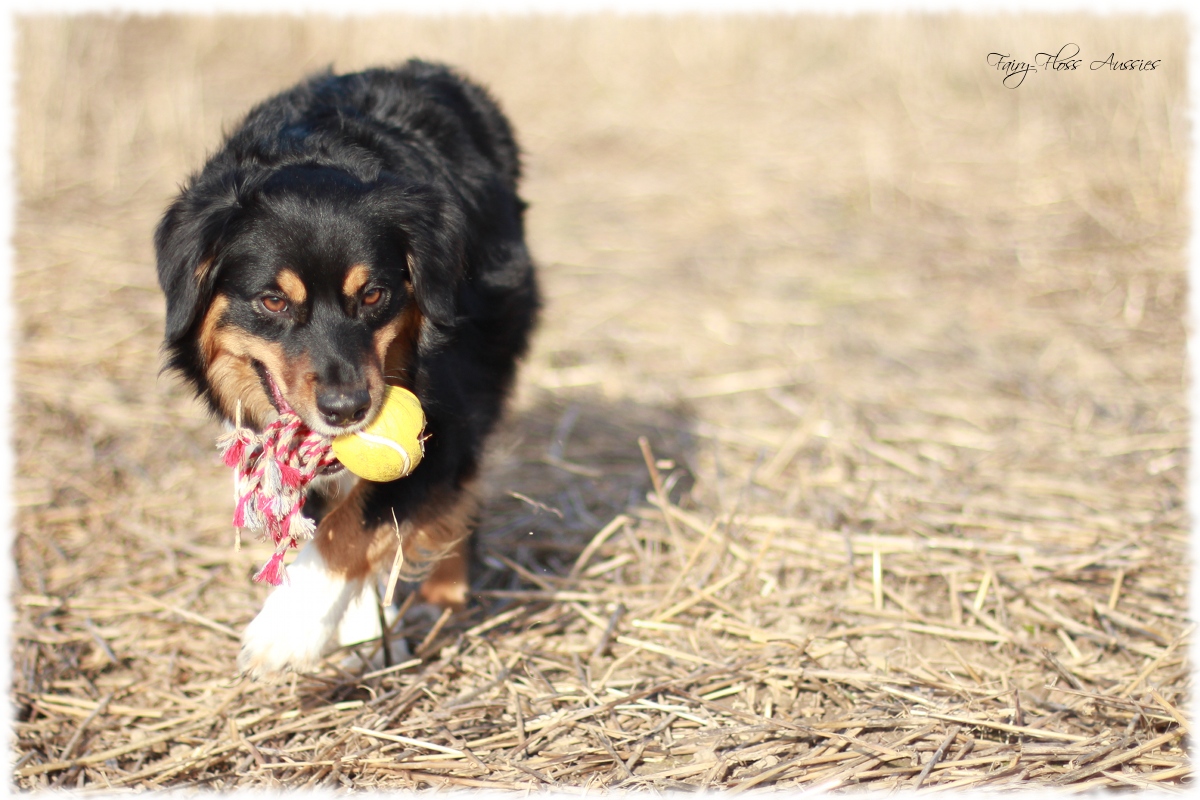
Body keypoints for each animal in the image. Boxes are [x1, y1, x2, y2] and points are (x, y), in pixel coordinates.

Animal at [156, 61, 540, 676]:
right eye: (272, 301)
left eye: (374, 294)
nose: (347, 409)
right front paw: (351, 625)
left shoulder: (450, 420)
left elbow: (353, 524)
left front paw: (286, 629)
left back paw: (443, 596)